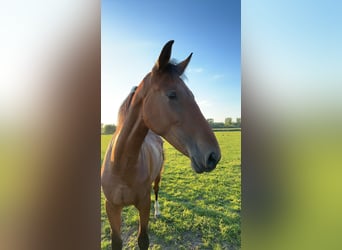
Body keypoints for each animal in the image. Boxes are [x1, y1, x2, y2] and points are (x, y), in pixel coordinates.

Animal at [101, 40, 222, 249]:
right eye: (172, 94)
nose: (213, 155)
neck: (121, 165)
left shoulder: (144, 204)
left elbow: (143, 239)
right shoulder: (111, 208)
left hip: (158, 176)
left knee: (156, 191)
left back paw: (158, 212)